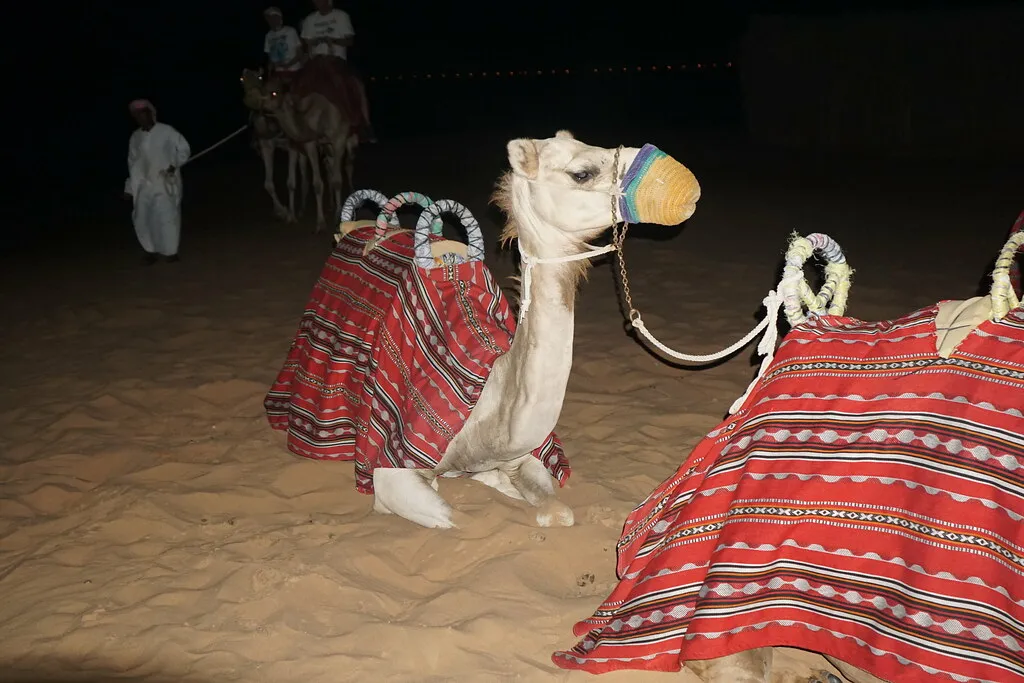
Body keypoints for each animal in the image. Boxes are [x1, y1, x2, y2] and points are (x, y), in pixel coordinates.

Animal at [241, 68, 357, 233]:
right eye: (241, 79)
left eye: (260, 77)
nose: (251, 98)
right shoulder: (271, 145)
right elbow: (270, 183)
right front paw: (285, 213)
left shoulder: (300, 146)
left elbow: (294, 182)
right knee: (325, 170)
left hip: (346, 142)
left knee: (347, 165)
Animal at [370, 131, 702, 530]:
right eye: (581, 173)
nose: (684, 183)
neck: (487, 414)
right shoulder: (392, 469)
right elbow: (462, 518)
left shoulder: (521, 456)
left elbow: (558, 512)